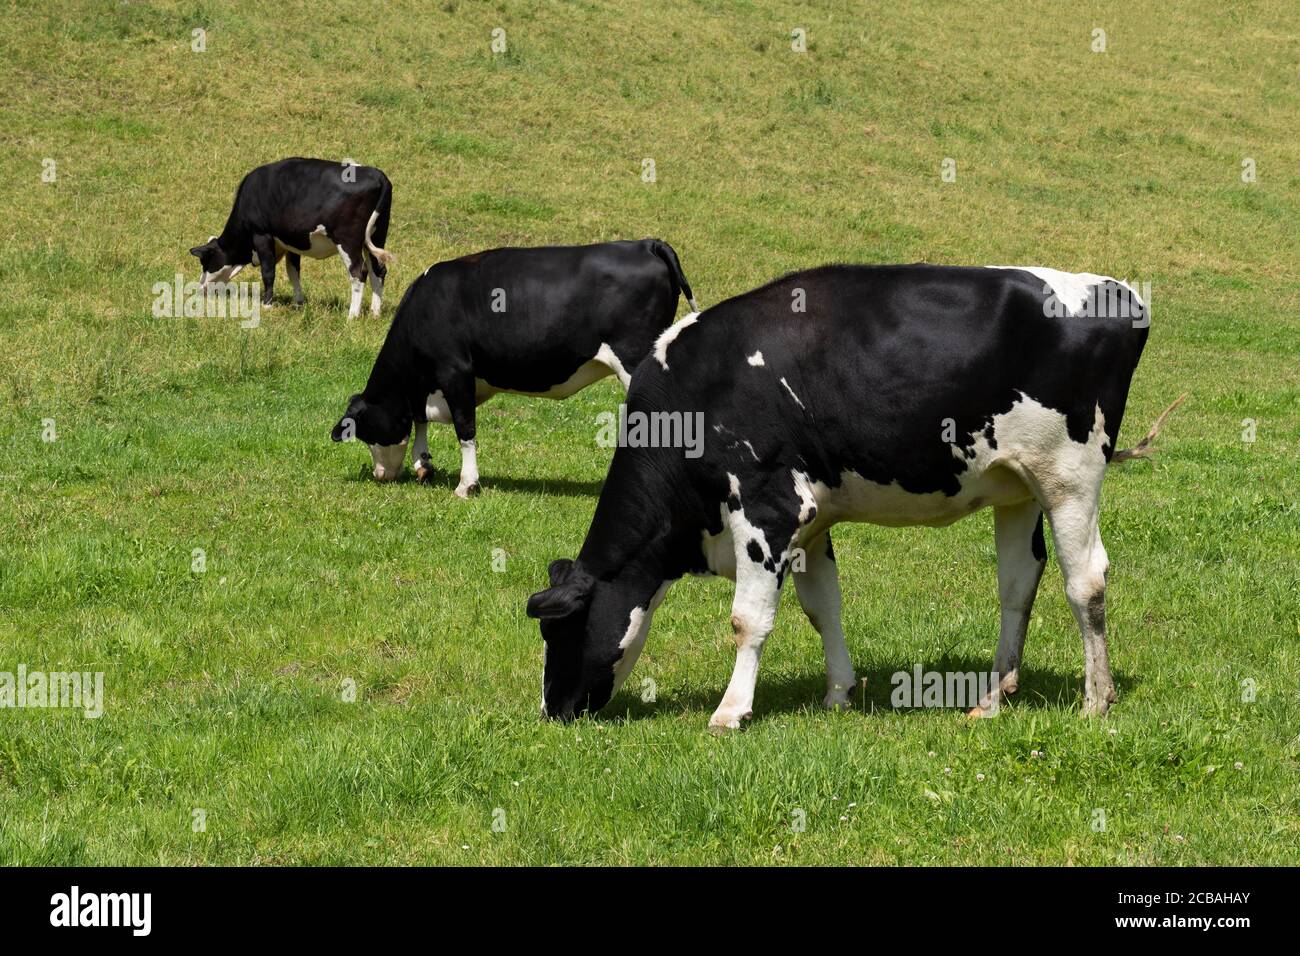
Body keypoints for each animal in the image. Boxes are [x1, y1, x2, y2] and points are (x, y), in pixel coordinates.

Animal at [189, 157, 393, 319]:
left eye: (205, 262)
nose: (200, 288)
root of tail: (377, 174)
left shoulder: (261, 235)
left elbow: (268, 272)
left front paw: (266, 304)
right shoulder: (291, 243)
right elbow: (293, 271)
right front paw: (298, 303)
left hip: (348, 241)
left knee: (358, 272)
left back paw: (352, 316)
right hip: (375, 237)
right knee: (378, 271)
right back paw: (375, 313)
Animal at [330, 239, 699, 496]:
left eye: (364, 431)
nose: (380, 476)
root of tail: (646, 243)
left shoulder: (455, 370)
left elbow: (465, 429)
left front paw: (466, 485)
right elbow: (421, 420)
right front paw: (423, 466)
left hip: (634, 361)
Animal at [527, 264, 1182, 729]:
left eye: (558, 630)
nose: (552, 710)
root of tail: (1116, 291)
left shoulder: (766, 508)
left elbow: (748, 619)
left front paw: (730, 711)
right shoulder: (810, 521)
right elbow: (824, 607)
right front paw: (839, 693)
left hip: (1070, 476)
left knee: (1086, 581)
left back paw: (1096, 700)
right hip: (1018, 486)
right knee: (1019, 584)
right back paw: (993, 697)